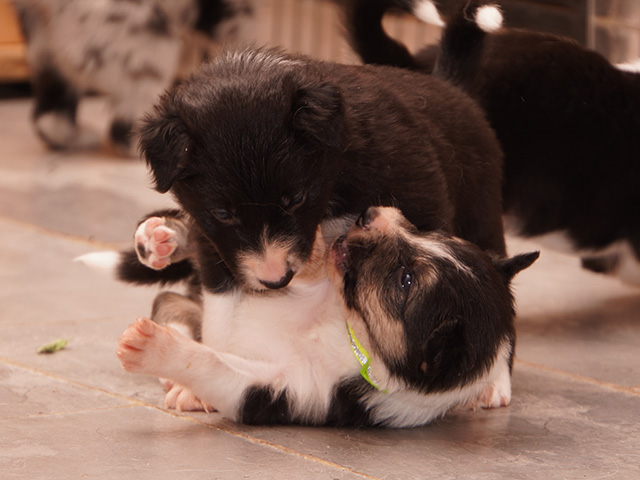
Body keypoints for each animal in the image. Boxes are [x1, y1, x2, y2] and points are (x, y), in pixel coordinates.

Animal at [94, 206, 538, 427]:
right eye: (433, 235)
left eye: (406, 280)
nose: (368, 213)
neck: (349, 333)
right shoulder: (306, 283)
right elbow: (297, 259)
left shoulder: (282, 391)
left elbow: (214, 363)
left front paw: (147, 347)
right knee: (173, 297)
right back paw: (162, 238)